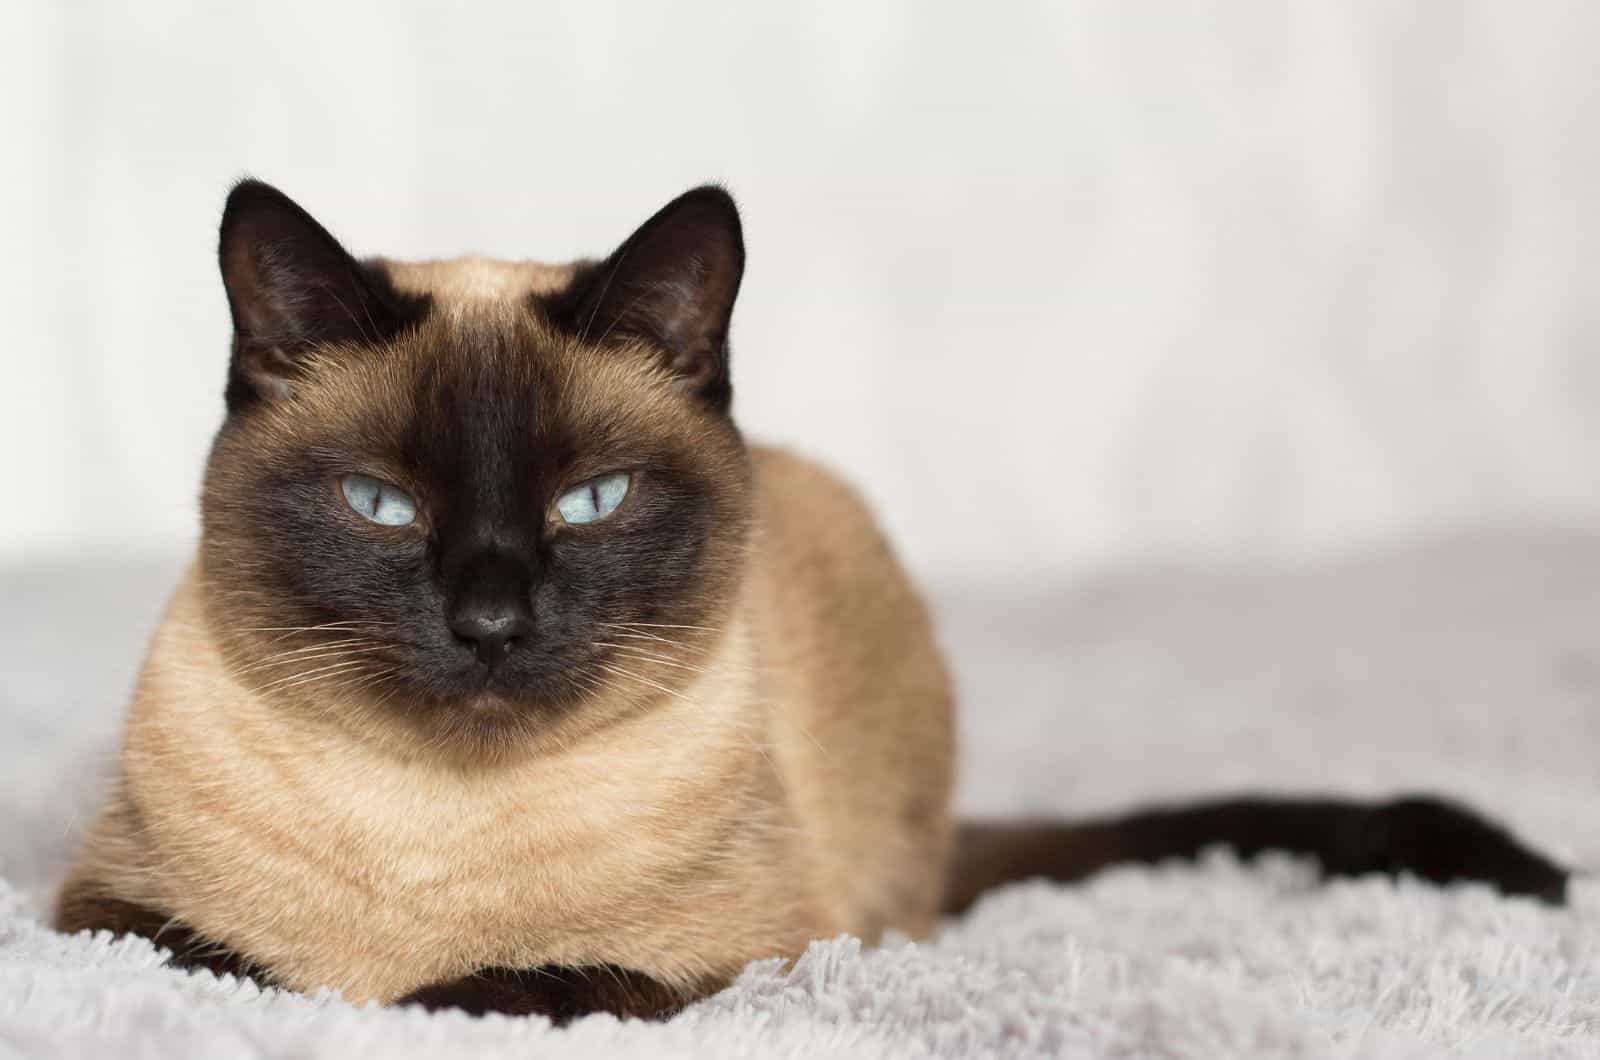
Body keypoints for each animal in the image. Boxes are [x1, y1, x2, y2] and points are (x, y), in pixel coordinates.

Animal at [53, 180, 1574, 1024]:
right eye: (382, 505)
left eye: (591, 502)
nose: (489, 624)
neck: (432, 834)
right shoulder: (99, 918)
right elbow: (235, 965)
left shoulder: (739, 963)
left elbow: (519, 983)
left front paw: (419, 999)